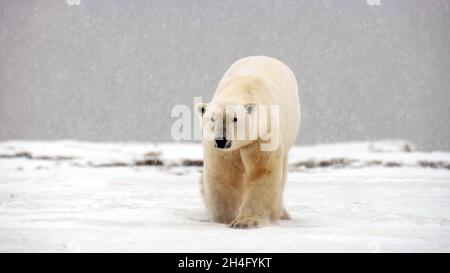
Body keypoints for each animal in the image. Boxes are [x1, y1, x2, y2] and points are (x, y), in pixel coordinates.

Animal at [195, 55, 300, 227]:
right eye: (212, 119)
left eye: (235, 119)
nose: (221, 140)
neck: (244, 85)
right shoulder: (220, 149)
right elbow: (223, 174)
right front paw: (224, 218)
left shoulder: (263, 135)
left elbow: (262, 171)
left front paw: (245, 222)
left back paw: (282, 213)